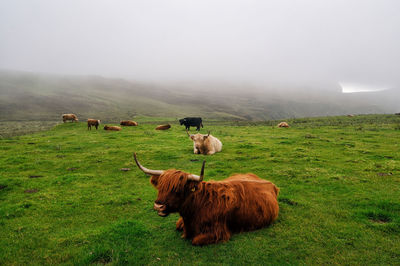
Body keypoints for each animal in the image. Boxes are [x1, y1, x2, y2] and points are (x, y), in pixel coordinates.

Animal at [133, 153, 280, 246]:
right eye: (160, 187)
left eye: (178, 190)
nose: (158, 206)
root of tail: (270, 183)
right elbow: (178, 225)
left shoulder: (217, 232)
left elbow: (195, 241)